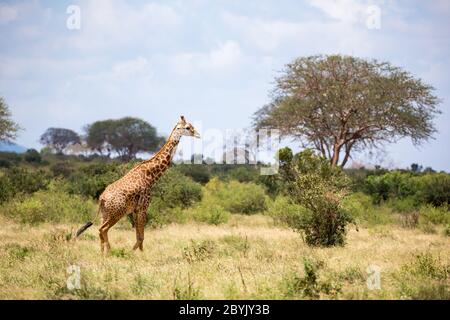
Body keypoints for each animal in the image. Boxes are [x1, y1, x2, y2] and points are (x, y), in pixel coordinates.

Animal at [76, 115, 200, 252]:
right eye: (187, 127)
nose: (198, 134)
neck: (151, 176)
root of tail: (102, 198)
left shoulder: (135, 210)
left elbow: (138, 237)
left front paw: (135, 252)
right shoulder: (143, 207)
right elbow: (141, 237)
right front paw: (140, 254)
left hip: (105, 213)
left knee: (100, 231)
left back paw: (102, 253)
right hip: (117, 213)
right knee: (102, 229)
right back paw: (109, 251)